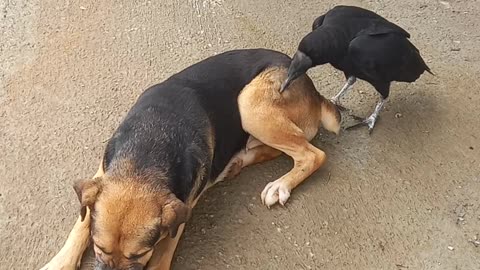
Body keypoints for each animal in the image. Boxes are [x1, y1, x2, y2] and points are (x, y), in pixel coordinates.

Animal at [40, 49, 342, 270]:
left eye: (138, 255)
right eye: (100, 248)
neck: (147, 154)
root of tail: (316, 93)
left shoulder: (179, 215)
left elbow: (162, 256)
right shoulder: (101, 174)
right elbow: (80, 224)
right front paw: (60, 262)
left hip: (250, 103)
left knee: (313, 154)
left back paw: (280, 185)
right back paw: (238, 163)